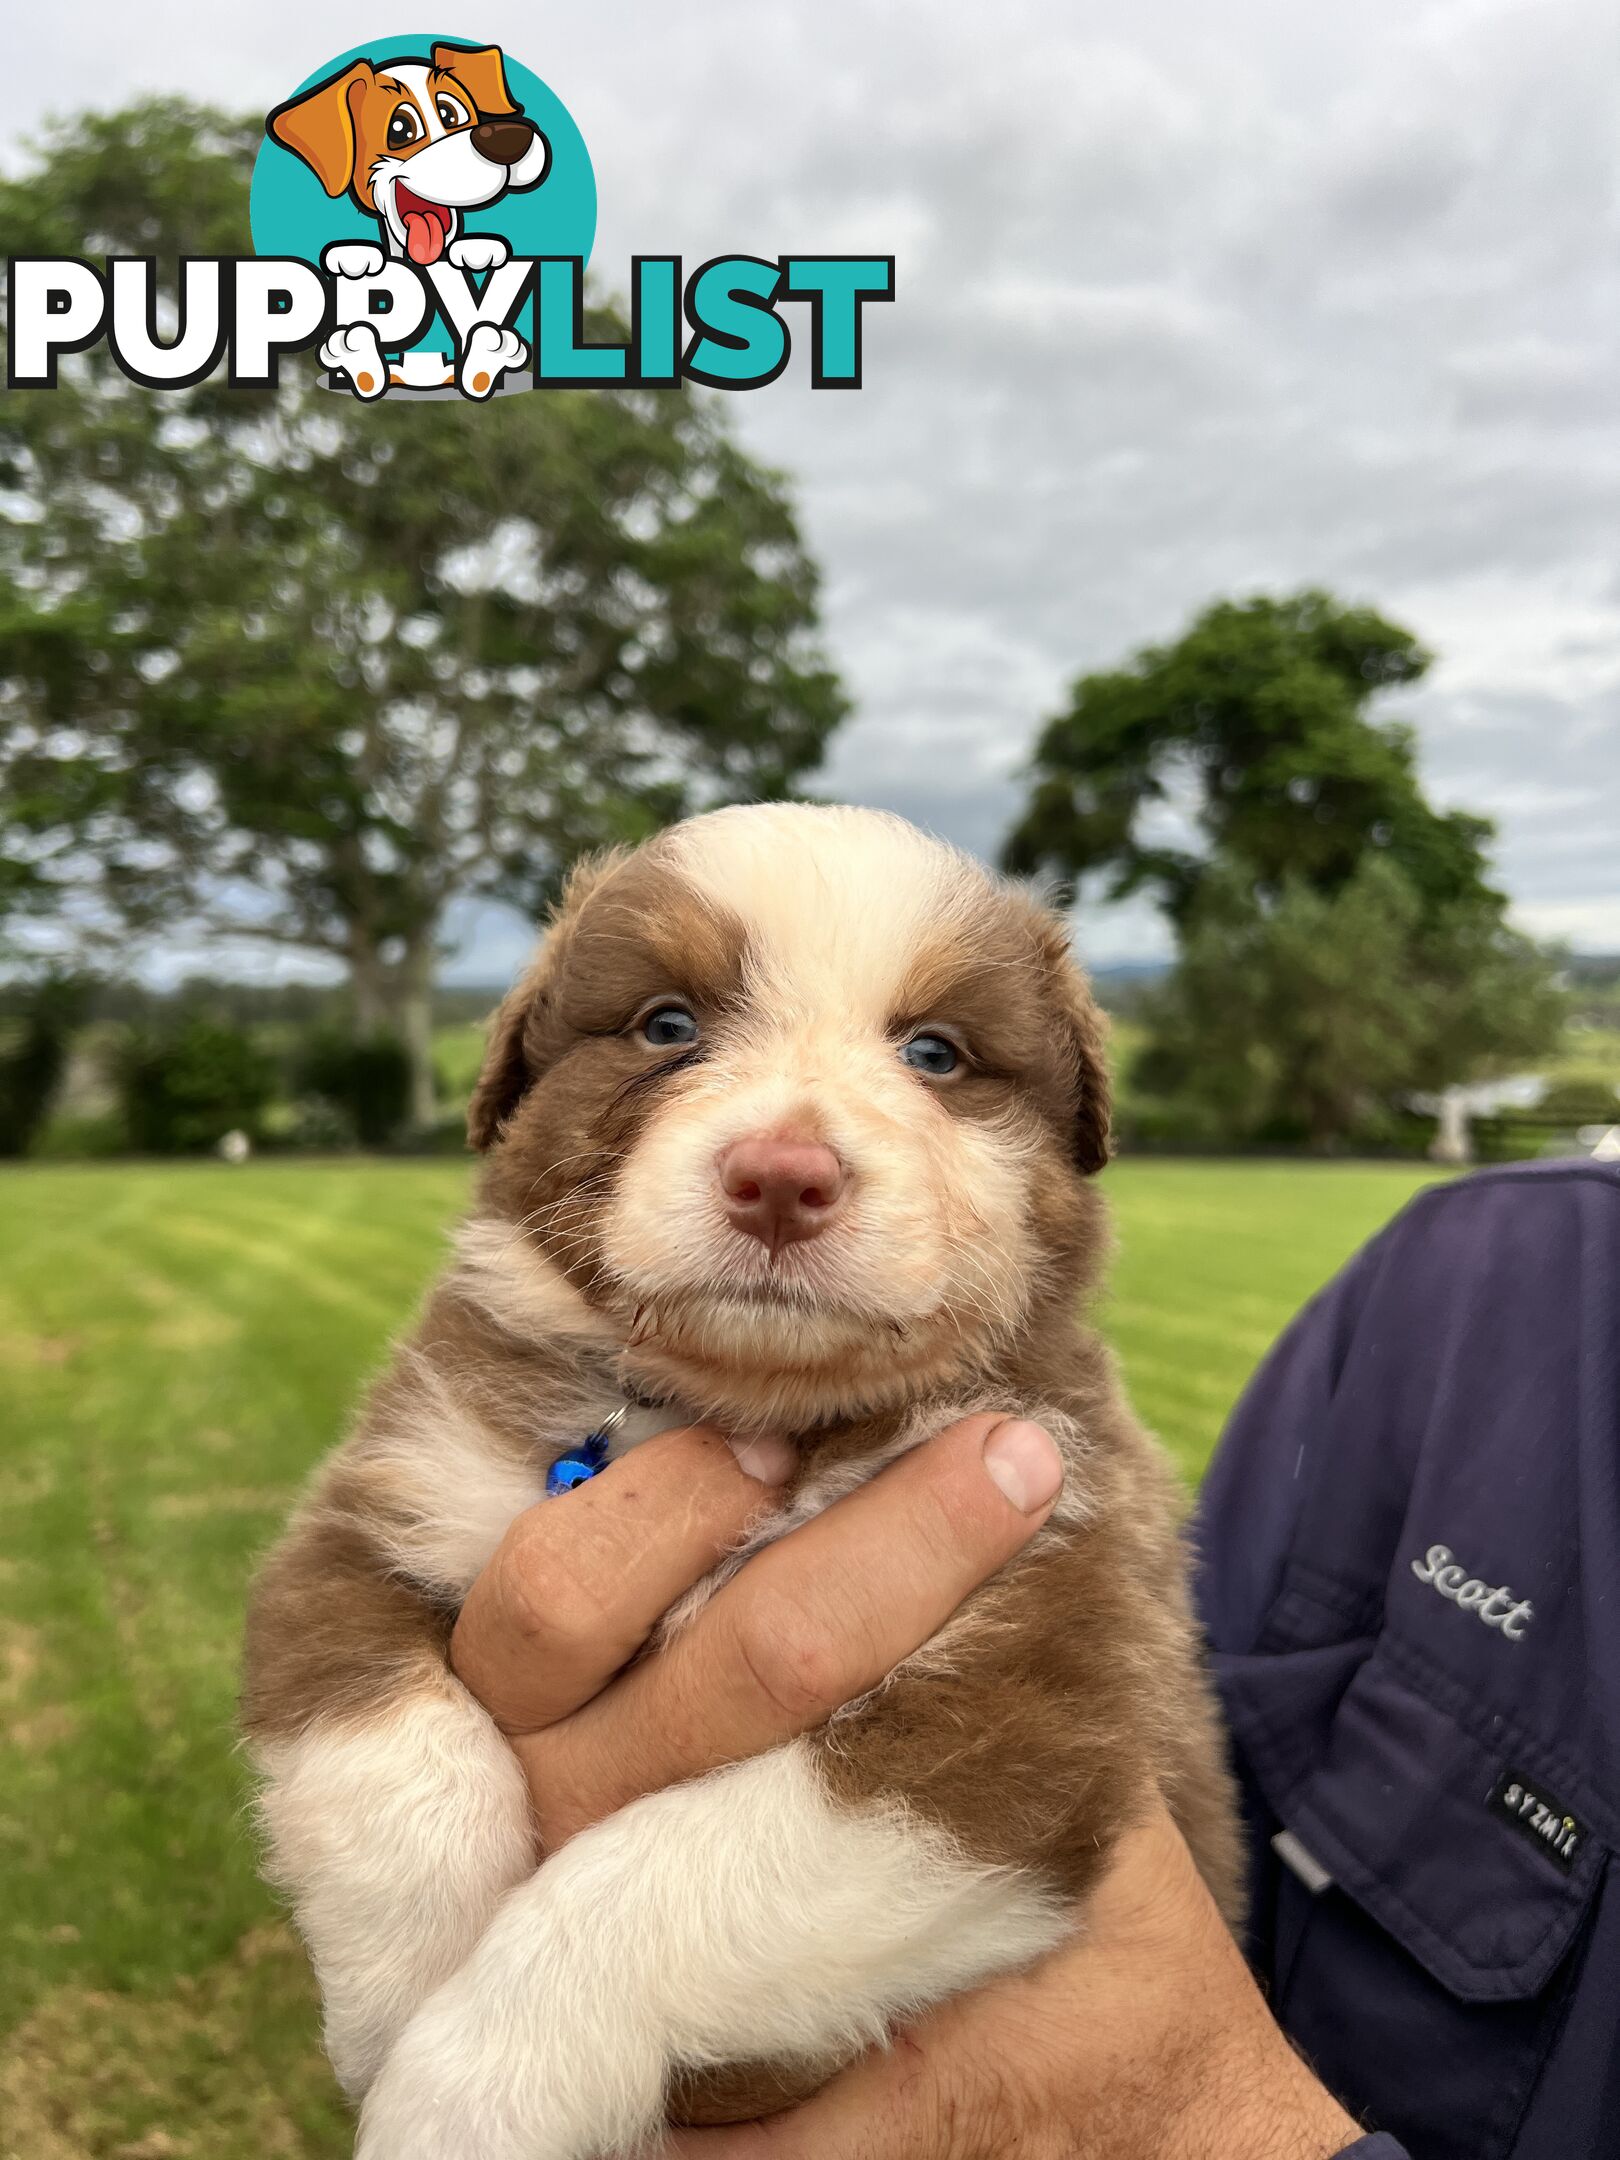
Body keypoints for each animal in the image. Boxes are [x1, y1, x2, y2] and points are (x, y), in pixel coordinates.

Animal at [244, 807, 1244, 2160]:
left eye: (935, 1053)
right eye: (668, 1025)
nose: (782, 1175)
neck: (745, 1407)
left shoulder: (1019, 1702)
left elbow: (662, 1878)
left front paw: (466, 2093)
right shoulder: (386, 1503)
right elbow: (387, 1755)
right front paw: (399, 1999)